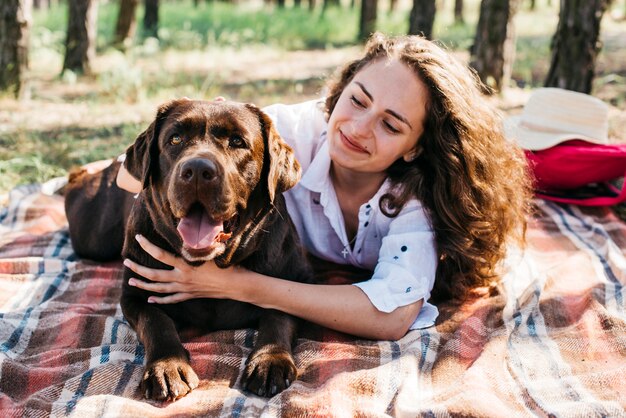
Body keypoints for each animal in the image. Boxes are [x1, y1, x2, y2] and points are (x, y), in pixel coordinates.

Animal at [117, 99, 312, 402]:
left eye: (237, 141)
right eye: (175, 139)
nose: (197, 170)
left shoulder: (295, 281)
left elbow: (278, 314)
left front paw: (270, 360)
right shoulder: (134, 294)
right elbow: (155, 320)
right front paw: (167, 366)